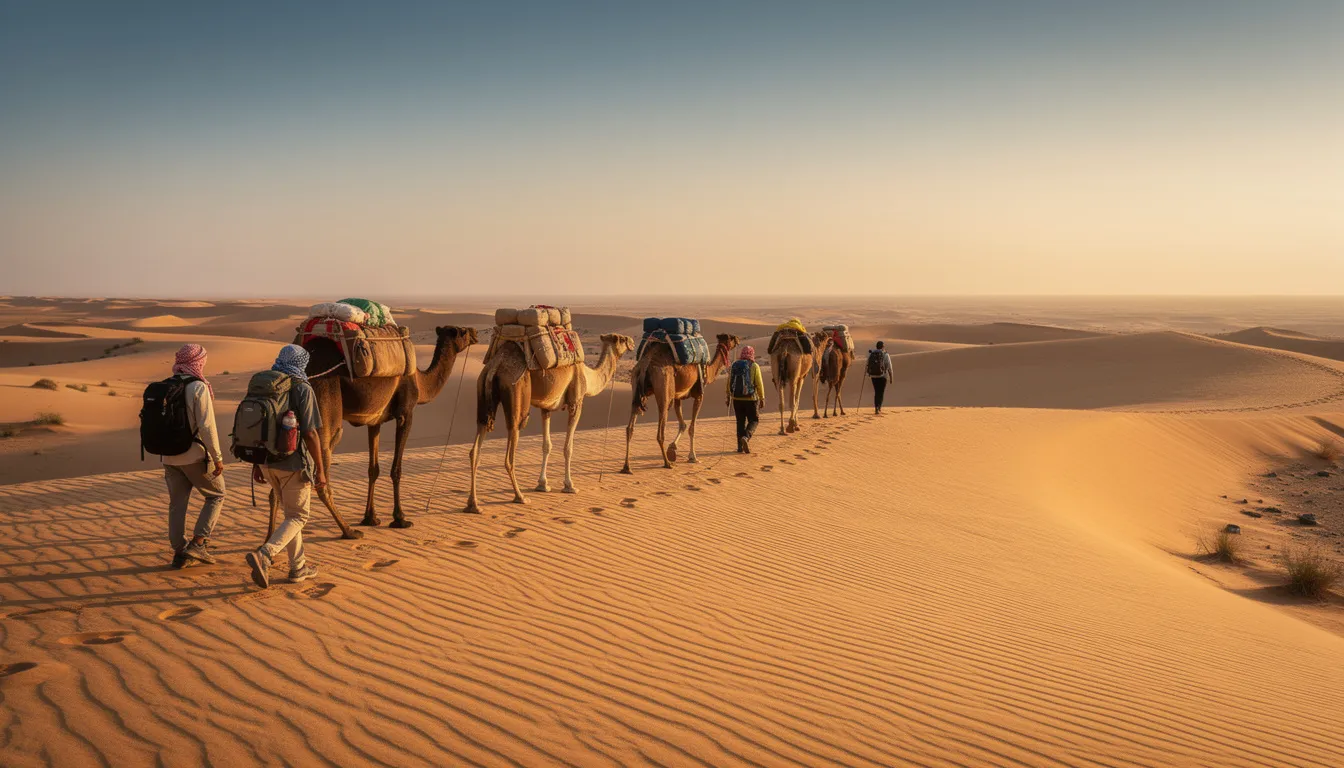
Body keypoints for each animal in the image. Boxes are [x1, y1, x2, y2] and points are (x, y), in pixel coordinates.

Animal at [270, 325, 479, 539]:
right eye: (462, 331)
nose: (475, 333)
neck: (420, 382)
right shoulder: (406, 413)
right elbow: (396, 469)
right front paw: (400, 519)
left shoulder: (374, 421)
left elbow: (373, 469)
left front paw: (370, 517)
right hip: (323, 410)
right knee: (322, 477)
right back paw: (348, 531)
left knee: (277, 485)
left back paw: (269, 539)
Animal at [466, 332, 635, 513]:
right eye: (622, 339)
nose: (632, 342)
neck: (588, 376)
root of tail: (495, 365)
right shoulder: (576, 403)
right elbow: (568, 447)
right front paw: (569, 486)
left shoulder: (546, 408)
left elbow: (547, 445)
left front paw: (543, 484)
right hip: (515, 392)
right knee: (510, 451)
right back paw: (520, 497)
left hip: (483, 392)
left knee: (476, 446)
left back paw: (473, 504)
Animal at [620, 333, 739, 472]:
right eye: (732, 338)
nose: (738, 340)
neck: (708, 371)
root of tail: (646, 364)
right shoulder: (699, 395)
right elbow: (692, 427)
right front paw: (693, 457)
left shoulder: (678, 397)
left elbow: (683, 424)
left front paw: (673, 449)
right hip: (664, 388)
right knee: (660, 430)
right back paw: (667, 463)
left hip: (636, 386)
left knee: (630, 427)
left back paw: (627, 467)